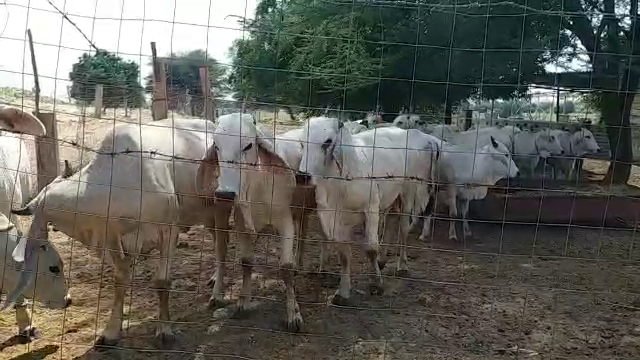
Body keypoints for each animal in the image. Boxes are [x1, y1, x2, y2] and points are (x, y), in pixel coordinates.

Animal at [10, 117, 218, 346]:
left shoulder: (168, 229)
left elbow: (162, 282)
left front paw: (165, 329)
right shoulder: (111, 237)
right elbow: (120, 281)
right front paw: (111, 331)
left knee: (221, 244)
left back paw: (218, 291)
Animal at [196, 113, 304, 332]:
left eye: (247, 145)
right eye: (217, 146)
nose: (225, 194)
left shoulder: (285, 222)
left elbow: (286, 268)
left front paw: (293, 314)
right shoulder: (240, 223)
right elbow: (246, 262)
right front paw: (243, 302)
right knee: (221, 250)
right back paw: (217, 290)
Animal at [298, 118, 438, 304]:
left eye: (327, 141)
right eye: (301, 143)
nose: (303, 176)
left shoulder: (371, 208)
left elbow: (371, 248)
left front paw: (376, 284)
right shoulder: (333, 218)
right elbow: (343, 254)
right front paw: (343, 292)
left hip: (408, 193)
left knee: (403, 228)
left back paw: (402, 265)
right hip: (391, 198)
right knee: (391, 222)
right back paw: (382, 261)